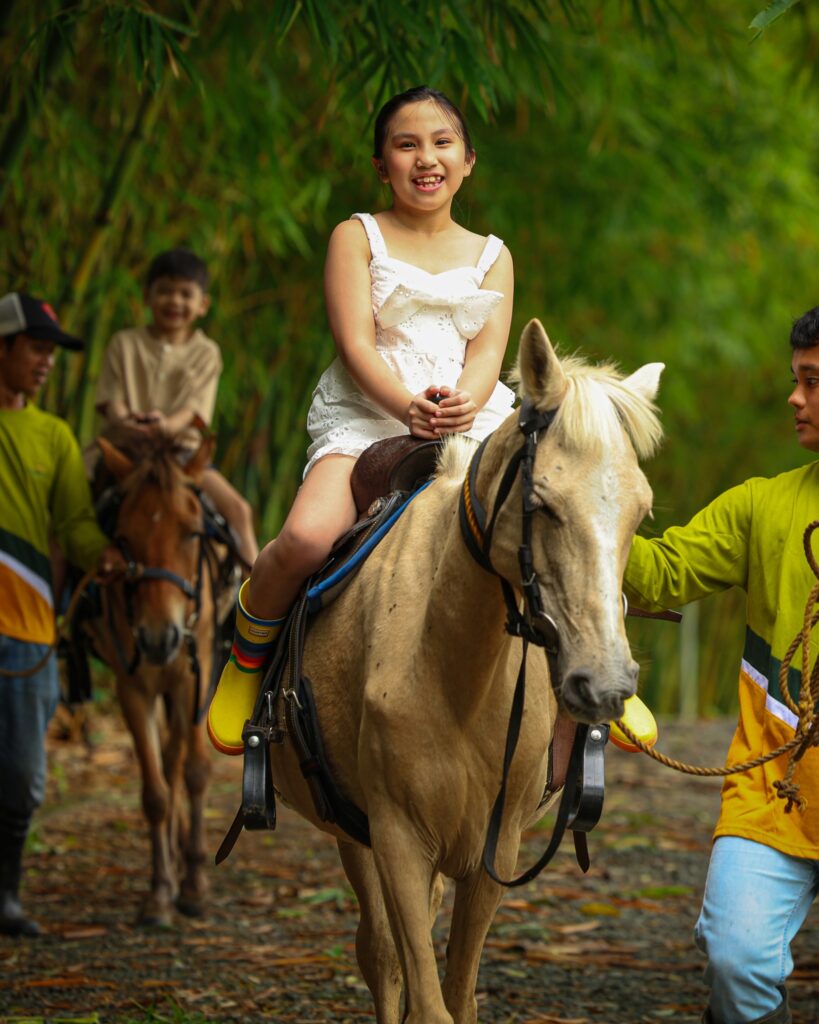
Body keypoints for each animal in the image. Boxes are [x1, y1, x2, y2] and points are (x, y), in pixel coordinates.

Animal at [85, 434, 232, 926]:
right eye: (124, 539)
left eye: (191, 533)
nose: (156, 636)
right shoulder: (132, 687)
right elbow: (155, 793)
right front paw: (160, 891)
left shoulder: (194, 675)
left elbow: (195, 772)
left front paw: (195, 884)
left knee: (178, 760)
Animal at [259, 320, 664, 1023]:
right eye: (541, 503)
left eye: (640, 512)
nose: (604, 684)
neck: (454, 671)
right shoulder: (396, 839)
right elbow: (424, 995)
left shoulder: (491, 853)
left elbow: (459, 994)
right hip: (353, 833)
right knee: (380, 952)